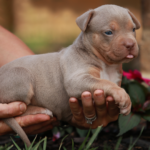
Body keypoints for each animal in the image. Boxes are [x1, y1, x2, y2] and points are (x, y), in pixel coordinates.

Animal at [0, 4, 139, 146]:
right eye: (108, 32)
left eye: (133, 29)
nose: (130, 44)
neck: (106, 64)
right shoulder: (76, 80)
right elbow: (103, 82)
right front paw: (122, 95)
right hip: (21, 75)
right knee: (20, 109)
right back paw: (39, 110)